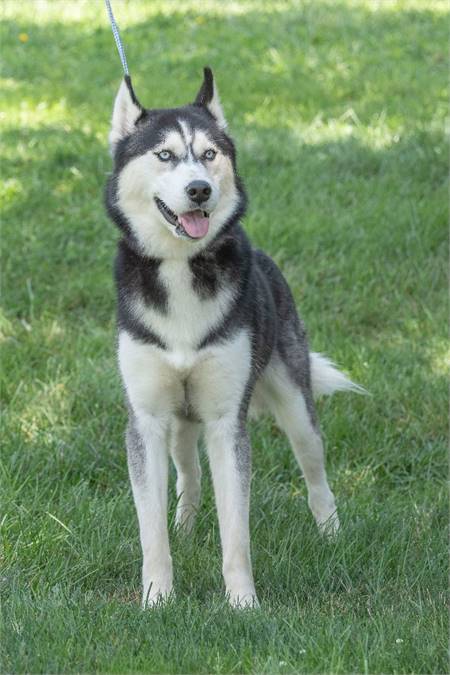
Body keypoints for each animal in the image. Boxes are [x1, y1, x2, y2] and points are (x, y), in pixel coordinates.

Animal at [105, 67, 362, 608]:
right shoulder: (147, 421)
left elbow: (235, 529)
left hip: (296, 406)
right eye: (164, 155)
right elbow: (150, 529)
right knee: (189, 473)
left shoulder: (226, 423)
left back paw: (331, 534)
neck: (181, 266)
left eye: (209, 154)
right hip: (181, 423)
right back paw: (185, 527)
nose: (200, 190)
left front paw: (243, 603)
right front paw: (157, 598)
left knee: (316, 474)